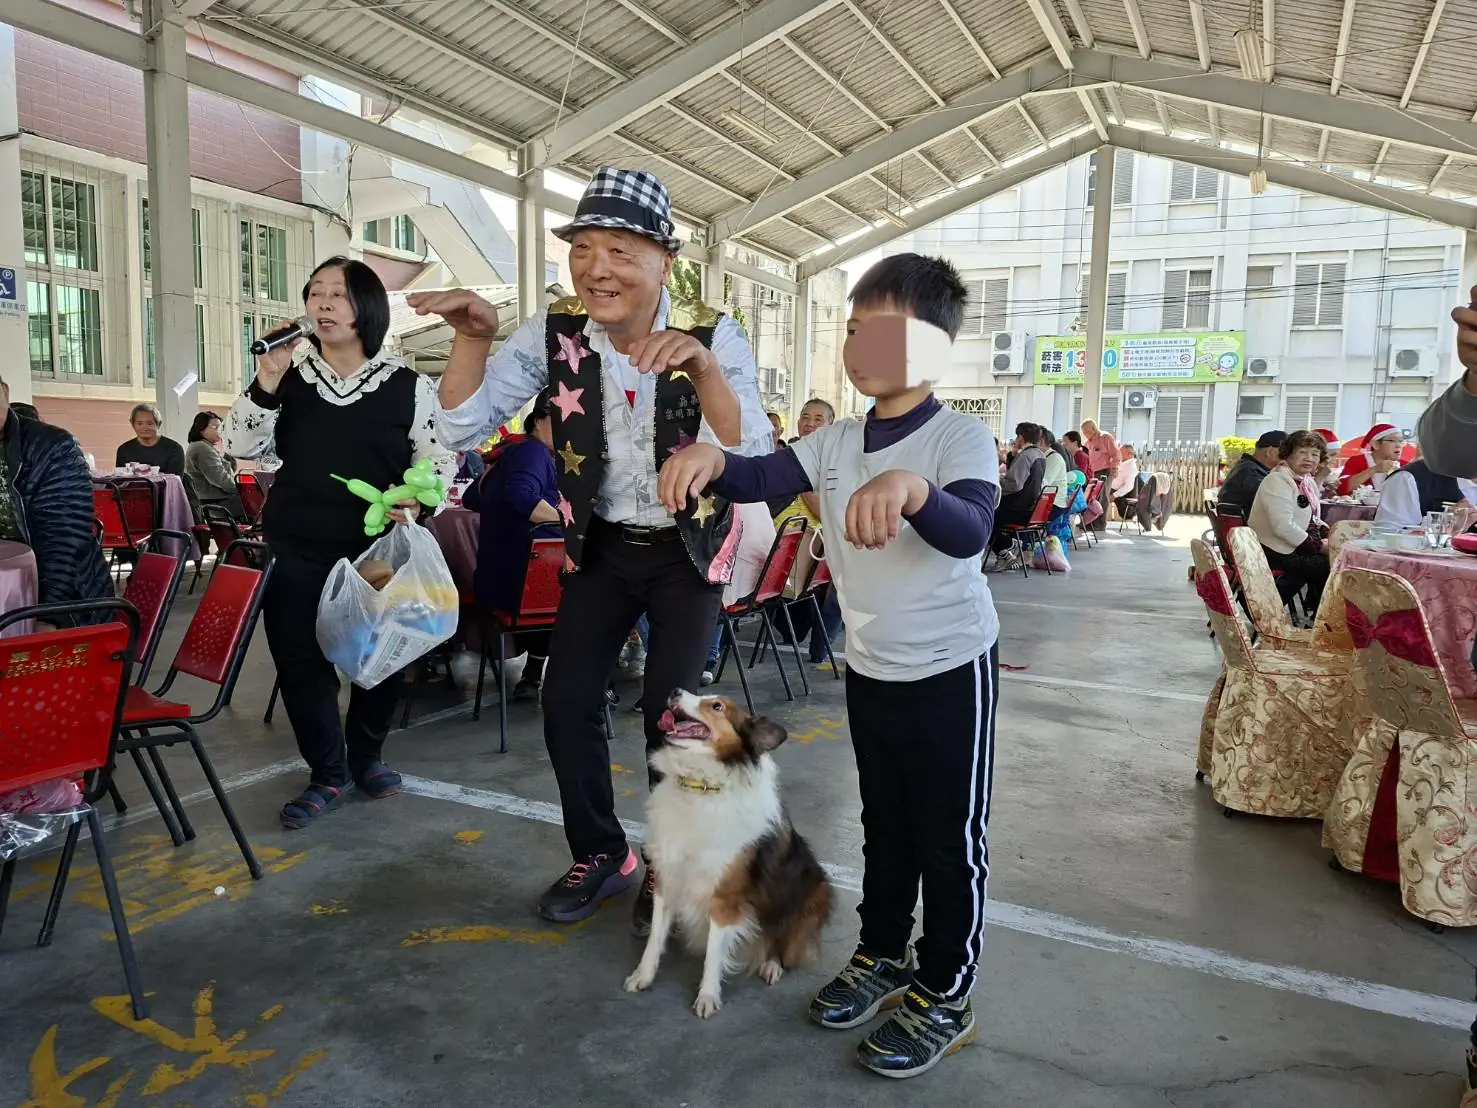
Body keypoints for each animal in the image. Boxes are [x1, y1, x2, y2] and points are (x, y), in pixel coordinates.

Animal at [623, 690, 832, 1018]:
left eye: (717, 706)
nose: (674, 692)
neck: (700, 786)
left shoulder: (724, 897)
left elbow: (713, 953)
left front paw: (708, 996)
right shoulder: (668, 879)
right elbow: (655, 938)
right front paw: (643, 976)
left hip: (813, 892)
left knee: (782, 937)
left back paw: (772, 965)